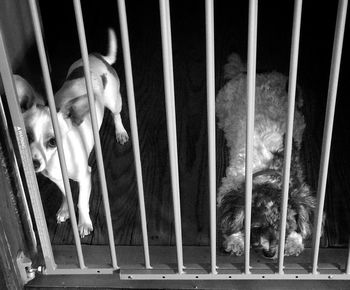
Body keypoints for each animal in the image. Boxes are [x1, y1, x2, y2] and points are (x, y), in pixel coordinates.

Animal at [15, 28, 128, 238]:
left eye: (53, 141)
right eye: (27, 137)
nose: (34, 163)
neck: (56, 162)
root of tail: (96, 56)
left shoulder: (85, 177)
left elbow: (81, 202)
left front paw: (84, 223)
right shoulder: (58, 180)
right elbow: (65, 194)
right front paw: (65, 210)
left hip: (114, 100)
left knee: (116, 114)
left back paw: (121, 132)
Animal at [216, 53, 318, 258]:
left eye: (287, 227)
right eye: (256, 227)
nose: (270, 253)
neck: (269, 170)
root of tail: (250, 73)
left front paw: (294, 242)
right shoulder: (229, 186)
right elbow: (233, 219)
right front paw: (236, 240)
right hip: (221, 104)